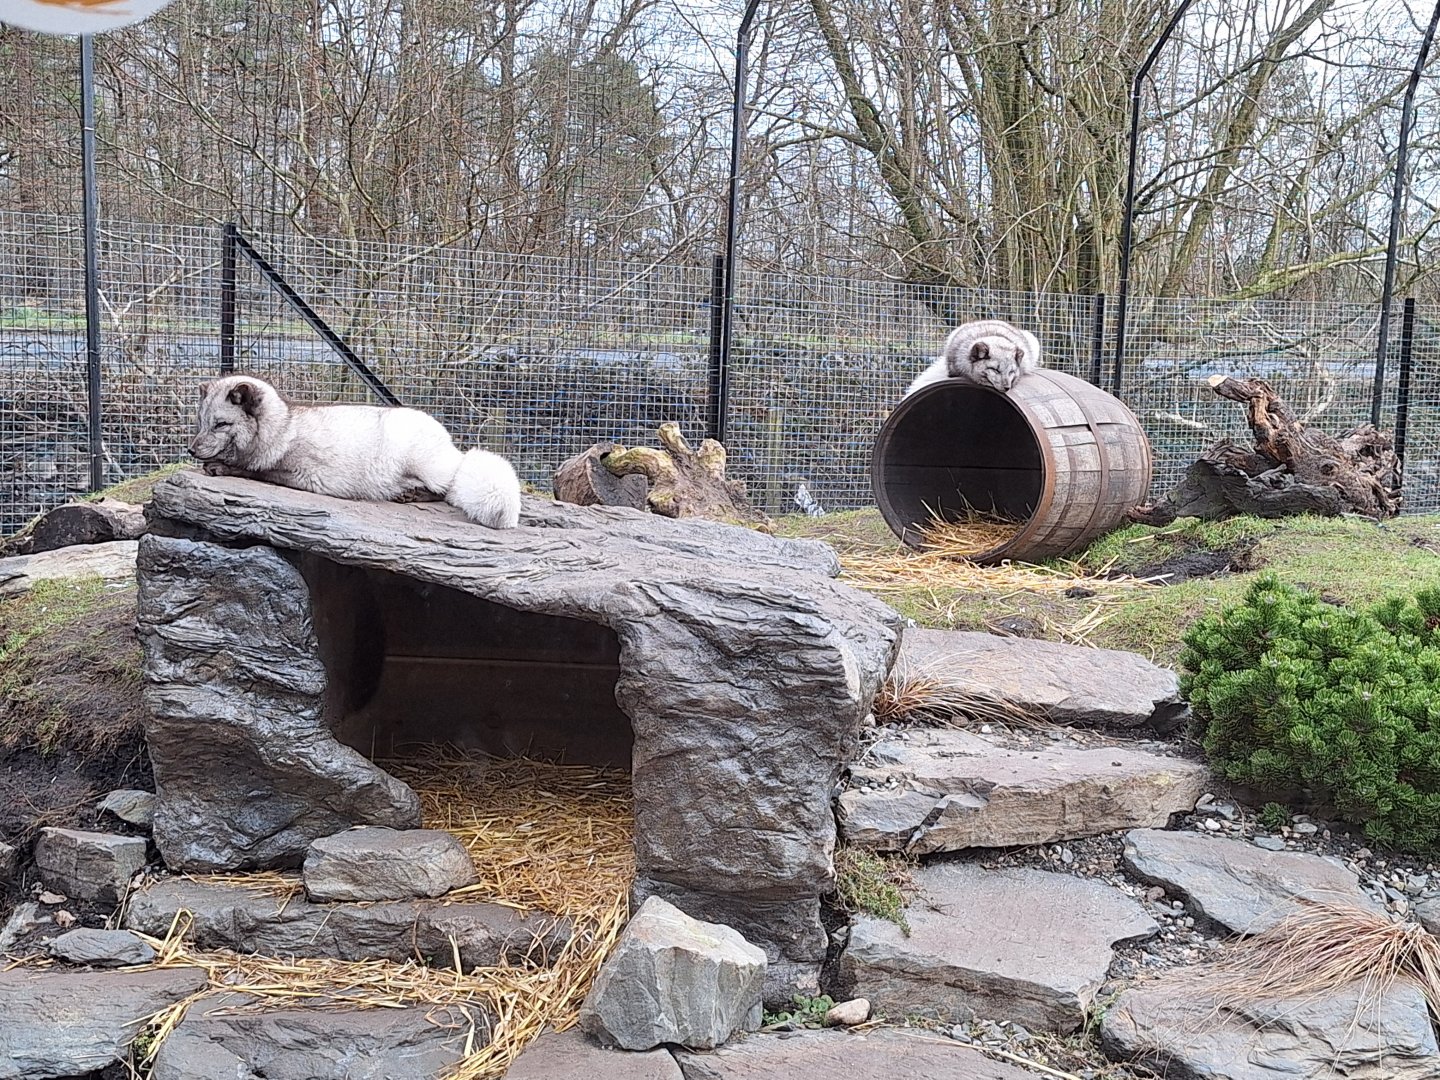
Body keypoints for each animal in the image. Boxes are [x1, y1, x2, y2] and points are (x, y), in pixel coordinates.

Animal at [187, 375, 523, 529]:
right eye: (201, 422)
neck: (283, 429)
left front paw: (222, 467)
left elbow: (258, 472)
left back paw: (414, 493)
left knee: (446, 489)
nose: (191, 450)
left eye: (221, 424)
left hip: (424, 463)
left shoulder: (307, 475)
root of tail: (457, 451)